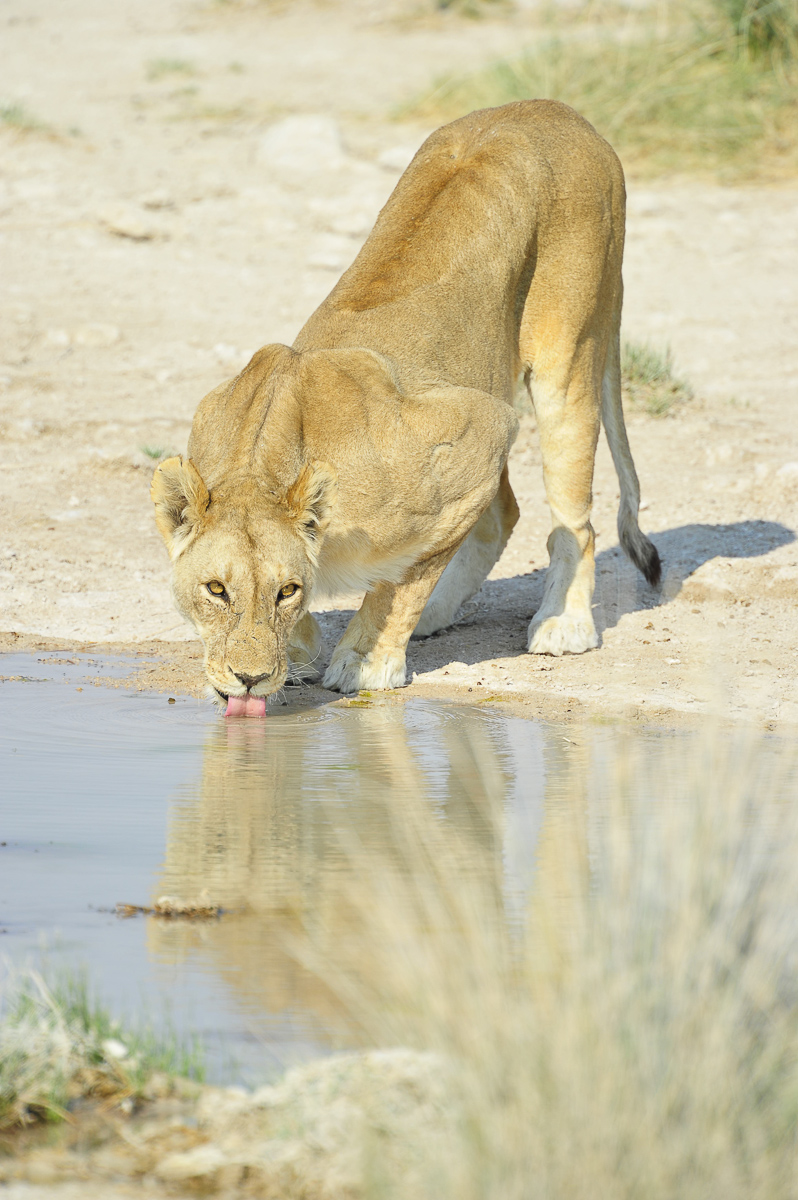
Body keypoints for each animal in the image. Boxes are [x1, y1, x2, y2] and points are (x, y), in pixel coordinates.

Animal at [151, 100, 660, 715]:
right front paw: (295, 654)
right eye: (216, 590)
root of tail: (557, 110)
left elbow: (405, 579)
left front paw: (366, 660)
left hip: (568, 353)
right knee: (502, 513)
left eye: (285, 590)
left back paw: (563, 624)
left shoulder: (482, 429)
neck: (262, 464)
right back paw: (441, 614)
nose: (248, 680)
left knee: (573, 522)